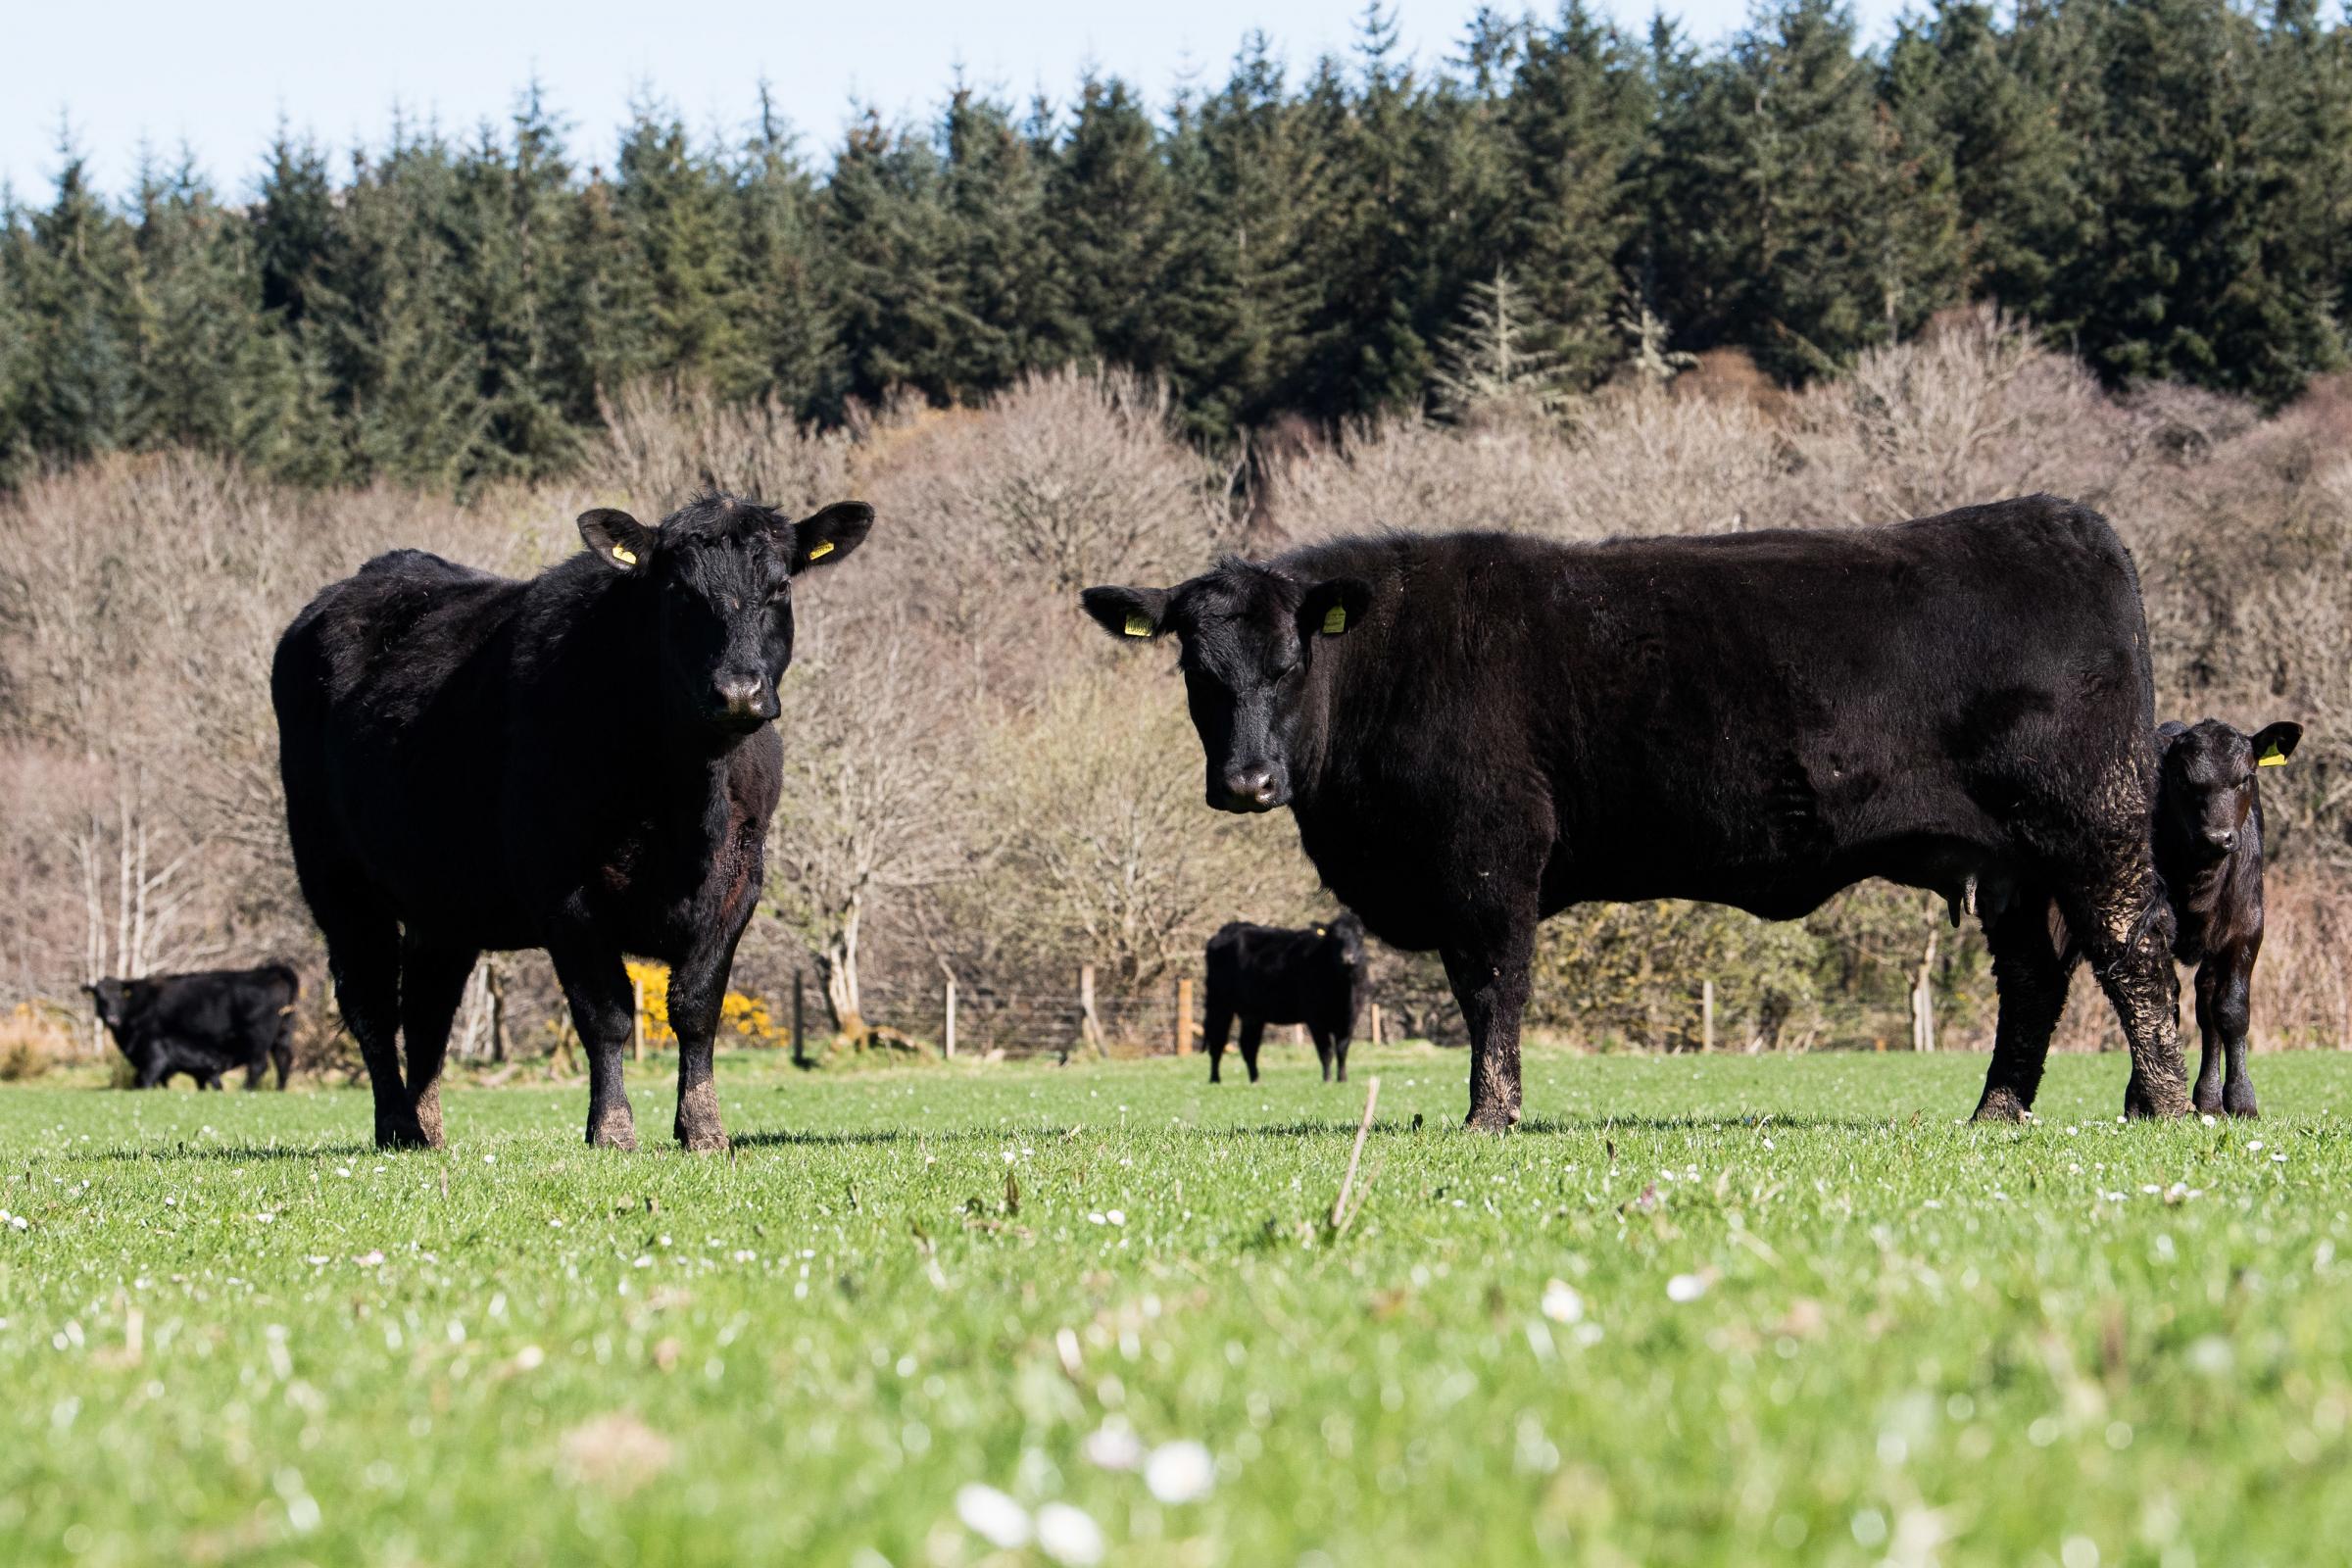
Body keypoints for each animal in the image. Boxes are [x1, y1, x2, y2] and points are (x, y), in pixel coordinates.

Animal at [82, 968, 296, 1091]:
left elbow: (150, 1075)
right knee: (284, 1060)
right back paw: (280, 1089)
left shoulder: (154, 1045)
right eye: (100, 997)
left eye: (119, 996)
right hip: (282, 1033)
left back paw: (245, 1090)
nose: (112, 1018)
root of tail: (274, 972)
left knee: (259, 1065)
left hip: (258, 1037)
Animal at [269, 493, 874, 1152]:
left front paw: (703, 1128)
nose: (738, 691)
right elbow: (606, 1013)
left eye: (781, 585)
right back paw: (398, 1126)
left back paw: (427, 1129)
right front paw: (612, 1128)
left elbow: (695, 1005)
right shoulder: (562, 887)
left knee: (429, 1009)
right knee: (372, 1001)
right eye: (678, 590)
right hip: (335, 877)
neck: (684, 800)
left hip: (442, 901)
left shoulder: (739, 880)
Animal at [1203, 911, 1373, 1086]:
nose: (1347, 958)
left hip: (1252, 1013)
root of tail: (1229, 928)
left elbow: (1342, 1049)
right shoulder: (1315, 1018)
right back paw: (1215, 1079)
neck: (1344, 992)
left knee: (1248, 1045)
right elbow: (1326, 1051)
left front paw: (1342, 1079)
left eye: (1360, 934)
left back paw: (1255, 1079)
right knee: (1217, 1041)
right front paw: (1327, 1079)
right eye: (1333, 936)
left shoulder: (1350, 1018)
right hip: (1219, 1004)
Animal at [2154, 719, 2295, 1123]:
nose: (2217, 838)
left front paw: (2242, 1099)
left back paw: (2209, 1098)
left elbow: (2232, 1011)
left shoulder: (2247, 930)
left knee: (2209, 1009)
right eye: (2182, 780)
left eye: (2246, 776)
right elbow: (2163, 1007)